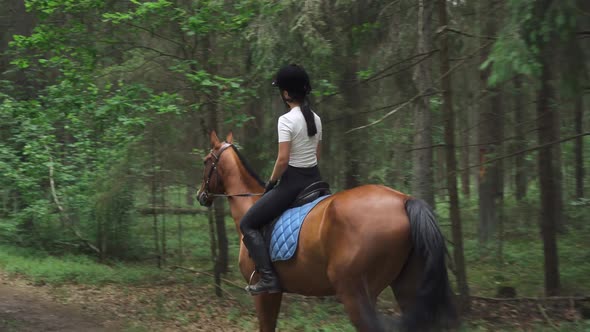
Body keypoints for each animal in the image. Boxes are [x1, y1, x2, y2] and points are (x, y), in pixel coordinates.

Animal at [198, 132, 458, 332]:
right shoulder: (276, 293)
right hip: (407, 286)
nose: (201, 195)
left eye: (205, 161)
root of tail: (404, 200)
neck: (249, 203)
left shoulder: (264, 293)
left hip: (354, 293)